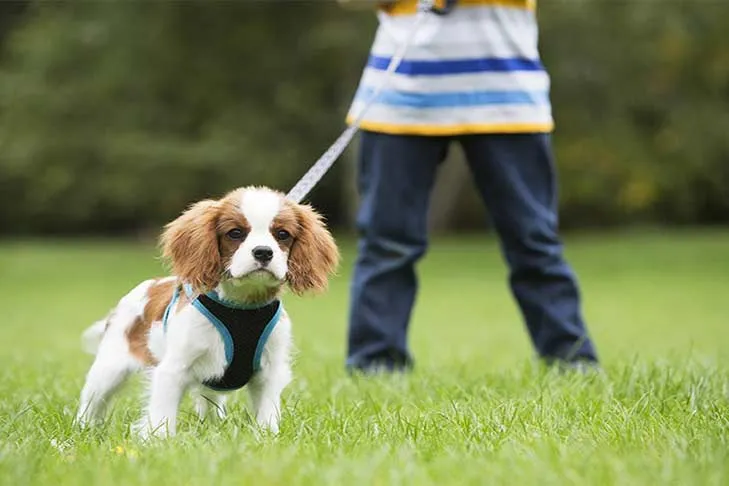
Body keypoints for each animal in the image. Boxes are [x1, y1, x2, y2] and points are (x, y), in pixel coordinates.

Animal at [74, 185, 338, 436]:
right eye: (235, 233)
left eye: (282, 234)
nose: (263, 252)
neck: (242, 307)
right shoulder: (173, 370)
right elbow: (162, 415)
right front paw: (159, 441)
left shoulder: (270, 371)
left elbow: (267, 412)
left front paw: (266, 436)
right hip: (109, 369)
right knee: (92, 402)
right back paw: (82, 429)